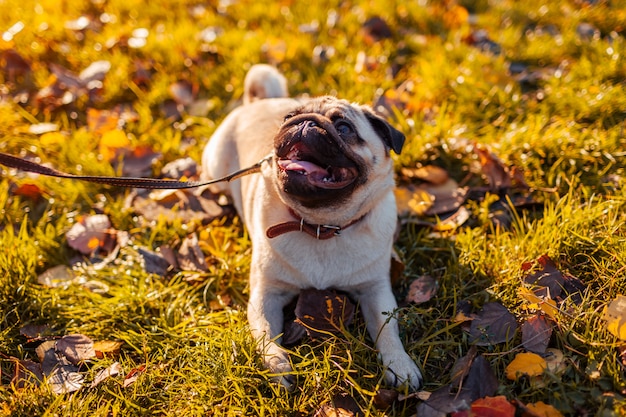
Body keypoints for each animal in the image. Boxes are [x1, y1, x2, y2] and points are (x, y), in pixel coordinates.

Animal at [202, 64, 422, 390]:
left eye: (344, 128)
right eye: (288, 118)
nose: (305, 123)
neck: (321, 226)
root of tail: (256, 101)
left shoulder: (375, 289)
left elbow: (388, 328)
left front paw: (399, 364)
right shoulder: (266, 293)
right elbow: (265, 333)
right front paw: (276, 365)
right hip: (215, 167)